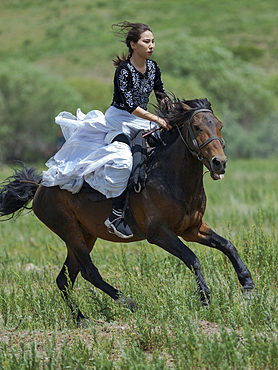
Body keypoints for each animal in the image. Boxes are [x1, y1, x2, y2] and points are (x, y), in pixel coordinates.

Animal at [0, 97, 255, 324]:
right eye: (197, 127)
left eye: (219, 125)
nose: (219, 163)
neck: (171, 178)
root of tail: (40, 188)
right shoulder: (159, 233)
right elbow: (192, 259)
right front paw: (204, 297)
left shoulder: (192, 229)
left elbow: (227, 245)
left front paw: (248, 284)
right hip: (70, 231)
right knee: (89, 272)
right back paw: (128, 302)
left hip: (84, 235)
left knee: (64, 278)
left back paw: (81, 319)